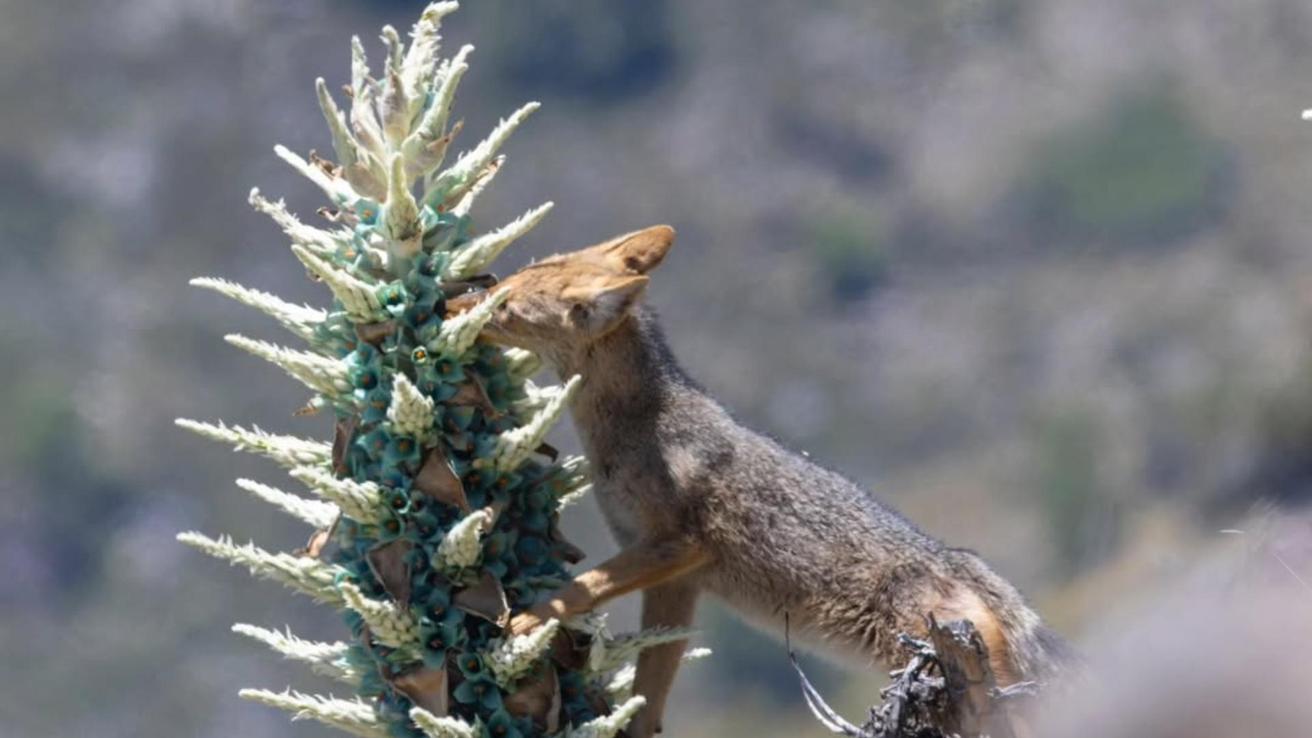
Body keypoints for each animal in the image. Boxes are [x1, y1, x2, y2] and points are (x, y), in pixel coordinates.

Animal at [451, 225, 1070, 737]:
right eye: (506, 279)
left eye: (505, 305)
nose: (456, 302)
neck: (636, 423)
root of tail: (968, 564)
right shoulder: (675, 581)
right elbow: (650, 692)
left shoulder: (677, 546)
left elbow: (576, 591)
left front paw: (523, 621)